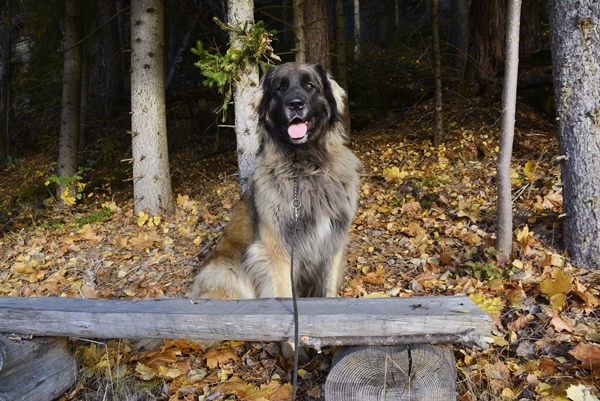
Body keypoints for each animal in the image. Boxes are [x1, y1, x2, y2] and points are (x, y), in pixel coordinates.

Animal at [191, 62, 360, 300]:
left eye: (310, 86)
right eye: (280, 88)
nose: (295, 104)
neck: (305, 169)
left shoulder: (333, 243)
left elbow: (329, 289)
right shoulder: (277, 250)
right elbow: (283, 291)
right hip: (227, 275)